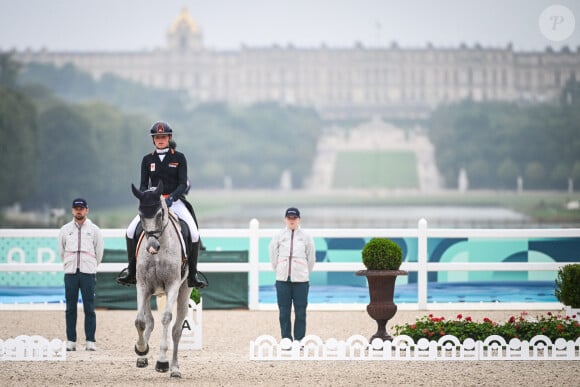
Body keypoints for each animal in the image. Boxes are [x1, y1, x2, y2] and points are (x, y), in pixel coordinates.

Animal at [130, 183, 189, 378]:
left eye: (159, 214)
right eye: (140, 214)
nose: (151, 248)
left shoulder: (172, 286)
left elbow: (166, 318)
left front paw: (162, 361)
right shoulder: (142, 286)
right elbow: (140, 321)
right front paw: (141, 349)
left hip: (184, 291)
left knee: (176, 330)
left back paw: (175, 368)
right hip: (149, 293)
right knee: (148, 320)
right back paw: (142, 357)